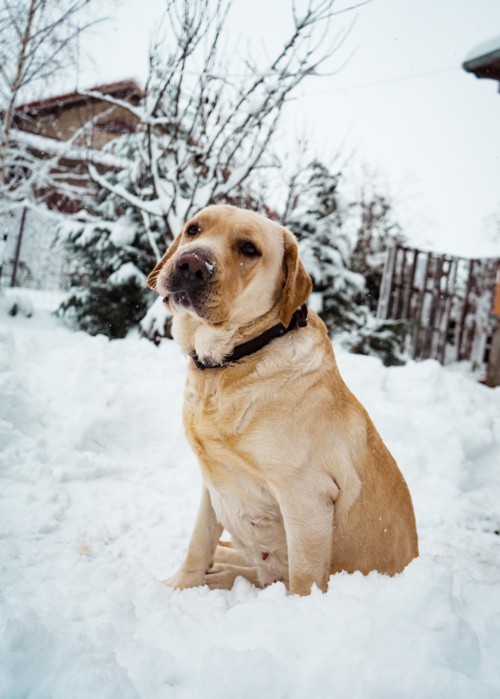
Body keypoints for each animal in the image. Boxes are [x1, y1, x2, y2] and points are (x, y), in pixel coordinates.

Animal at [147, 204, 418, 596]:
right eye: (193, 229)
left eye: (249, 249)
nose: (191, 264)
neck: (231, 362)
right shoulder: (213, 482)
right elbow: (199, 541)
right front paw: (182, 586)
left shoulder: (307, 498)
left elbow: (304, 579)